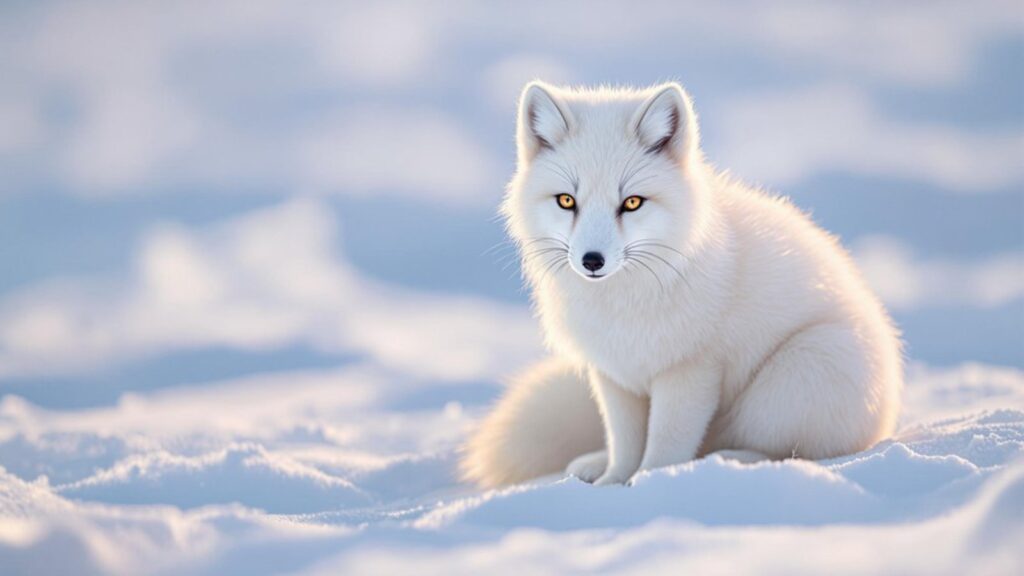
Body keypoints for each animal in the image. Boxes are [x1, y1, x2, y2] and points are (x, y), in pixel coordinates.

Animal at [460, 81, 903, 487]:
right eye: (566, 201)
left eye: (632, 203)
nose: (592, 261)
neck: (624, 302)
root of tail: (887, 412)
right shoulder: (614, 375)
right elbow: (624, 441)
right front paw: (613, 483)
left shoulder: (691, 370)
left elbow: (667, 443)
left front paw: (654, 483)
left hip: (795, 377)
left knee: (788, 451)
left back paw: (730, 461)